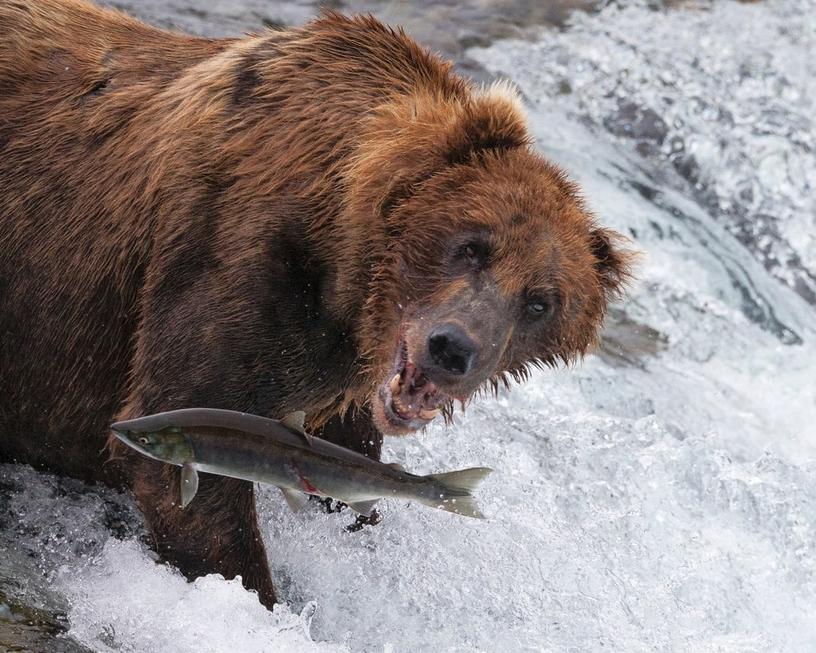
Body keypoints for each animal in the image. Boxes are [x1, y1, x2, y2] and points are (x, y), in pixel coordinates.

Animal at [0, 0, 632, 608]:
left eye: (541, 302)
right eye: (471, 246)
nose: (453, 349)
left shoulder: (336, 385)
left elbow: (354, 475)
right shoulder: (235, 264)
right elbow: (184, 465)